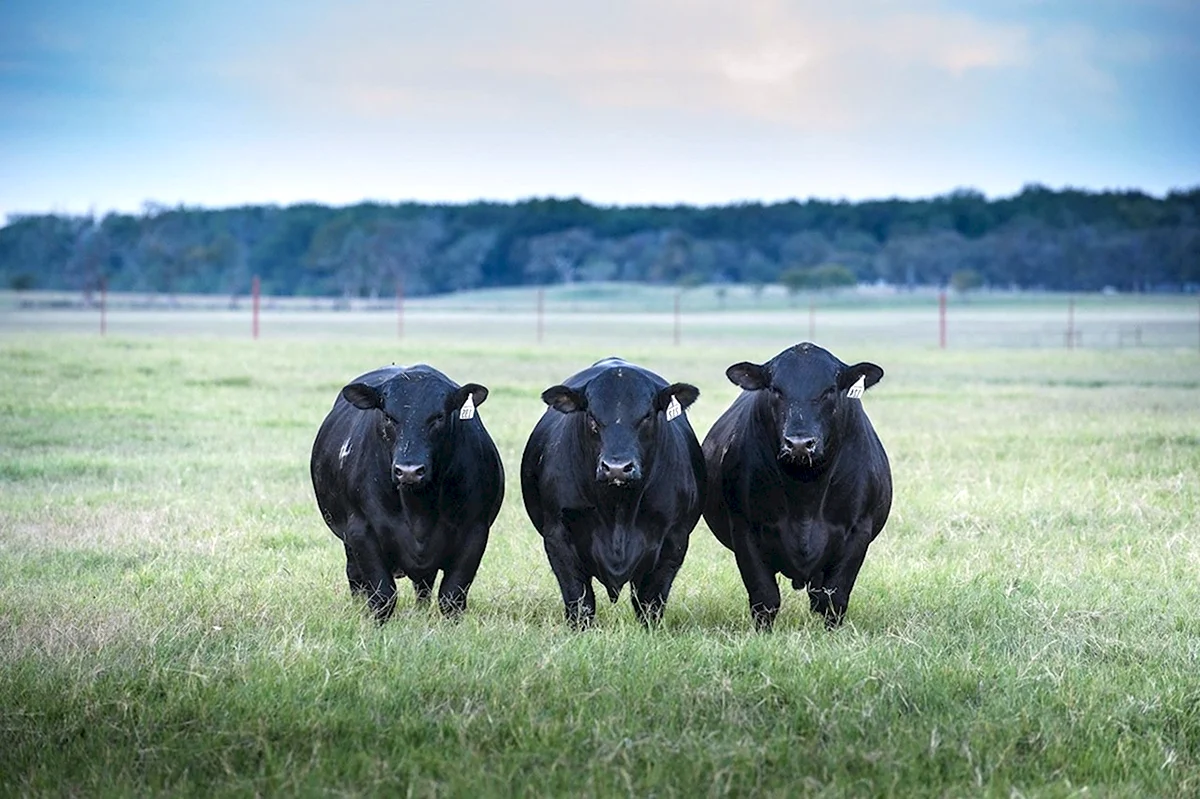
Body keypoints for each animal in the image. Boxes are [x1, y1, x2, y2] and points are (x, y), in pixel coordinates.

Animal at [312, 364, 504, 619]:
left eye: (439, 417)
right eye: (388, 416)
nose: (409, 471)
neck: (418, 512)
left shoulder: (475, 532)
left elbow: (452, 595)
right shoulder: (361, 531)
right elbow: (383, 595)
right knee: (355, 577)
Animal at [700, 343, 892, 628]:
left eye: (829, 390)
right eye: (776, 389)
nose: (799, 444)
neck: (806, 492)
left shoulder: (859, 530)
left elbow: (834, 598)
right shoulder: (745, 530)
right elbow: (765, 598)